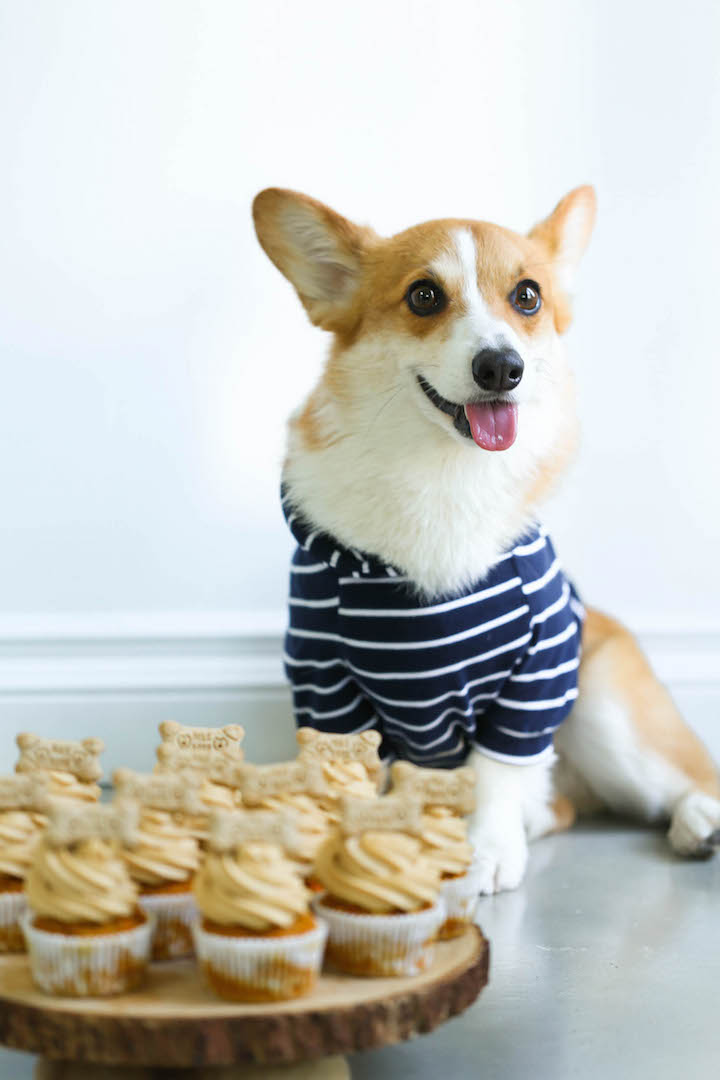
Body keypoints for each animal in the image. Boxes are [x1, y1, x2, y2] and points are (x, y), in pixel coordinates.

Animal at [253, 187, 720, 894]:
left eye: (528, 296)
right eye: (423, 296)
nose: (502, 366)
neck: (442, 473)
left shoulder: (536, 673)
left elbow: (498, 772)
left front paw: (490, 849)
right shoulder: (324, 681)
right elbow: (349, 779)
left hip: (611, 718)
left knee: (688, 778)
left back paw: (696, 823)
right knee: (551, 806)